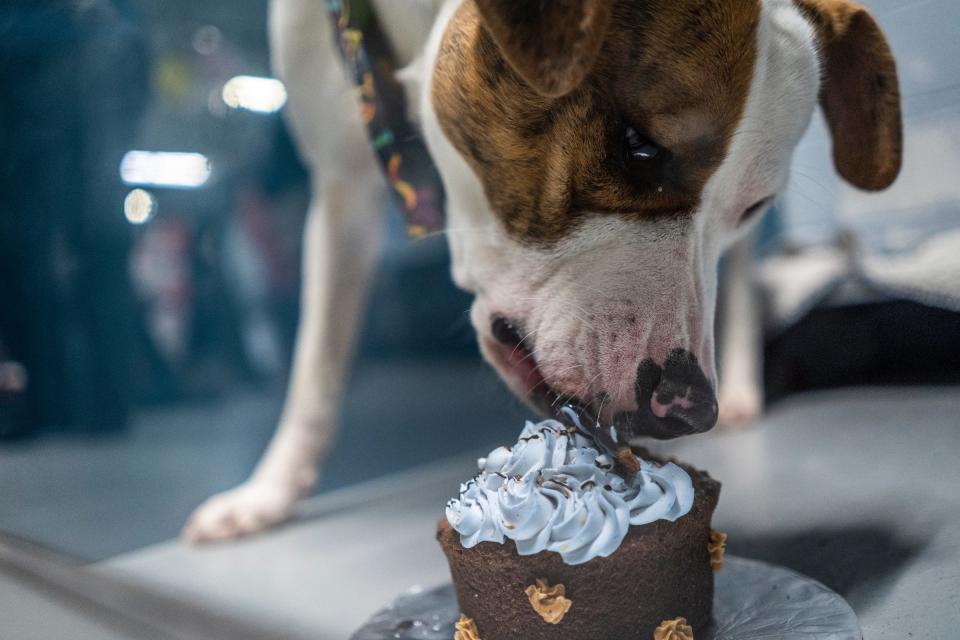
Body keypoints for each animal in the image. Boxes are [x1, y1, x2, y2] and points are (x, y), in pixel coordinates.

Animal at [184, 0, 904, 540]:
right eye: (637, 147)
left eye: (753, 205)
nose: (690, 407)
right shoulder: (340, 187)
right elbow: (318, 360)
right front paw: (268, 492)